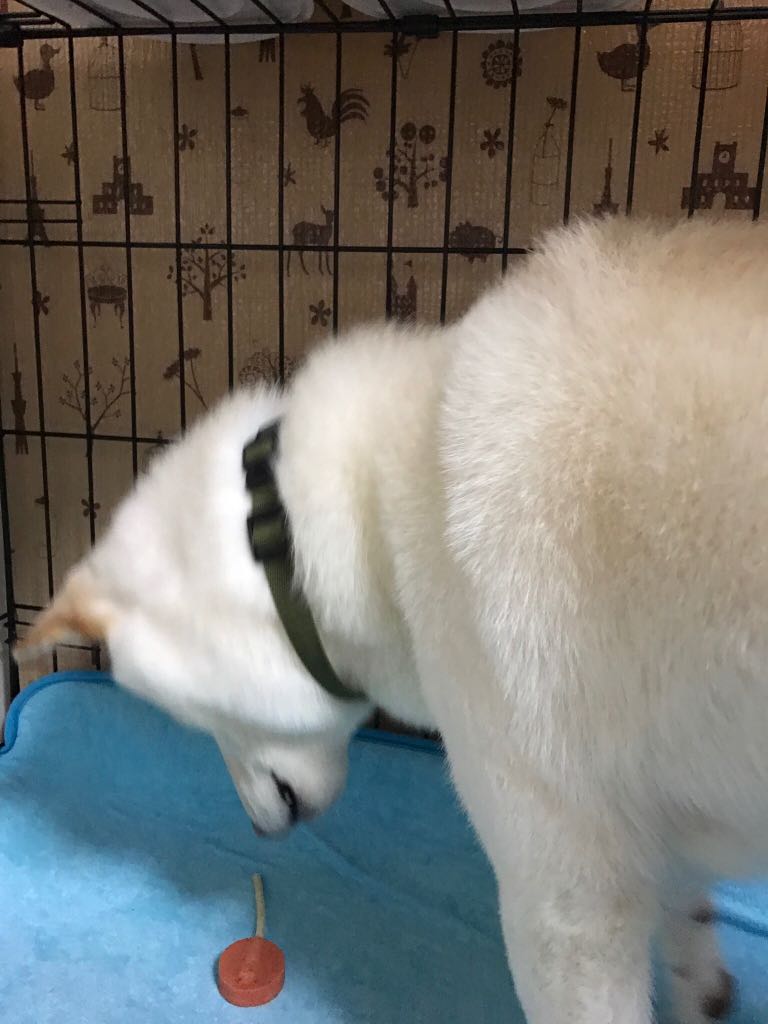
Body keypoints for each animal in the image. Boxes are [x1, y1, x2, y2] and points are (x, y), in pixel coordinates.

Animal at [17, 215, 768, 1023]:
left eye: (195, 724)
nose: (257, 829)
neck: (378, 502)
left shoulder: (563, 889)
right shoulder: (647, 816)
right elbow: (686, 905)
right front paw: (703, 985)